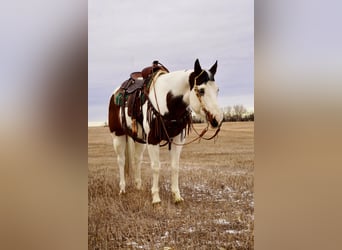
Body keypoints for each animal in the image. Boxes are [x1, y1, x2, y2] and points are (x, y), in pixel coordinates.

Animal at [108, 59, 223, 204]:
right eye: (201, 90)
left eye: (217, 90)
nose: (217, 119)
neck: (168, 101)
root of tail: (116, 92)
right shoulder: (152, 140)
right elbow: (156, 167)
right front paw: (156, 198)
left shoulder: (177, 139)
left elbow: (175, 166)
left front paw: (177, 196)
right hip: (118, 136)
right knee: (121, 161)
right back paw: (122, 189)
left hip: (140, 139)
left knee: (137, 159)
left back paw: (138, 186)